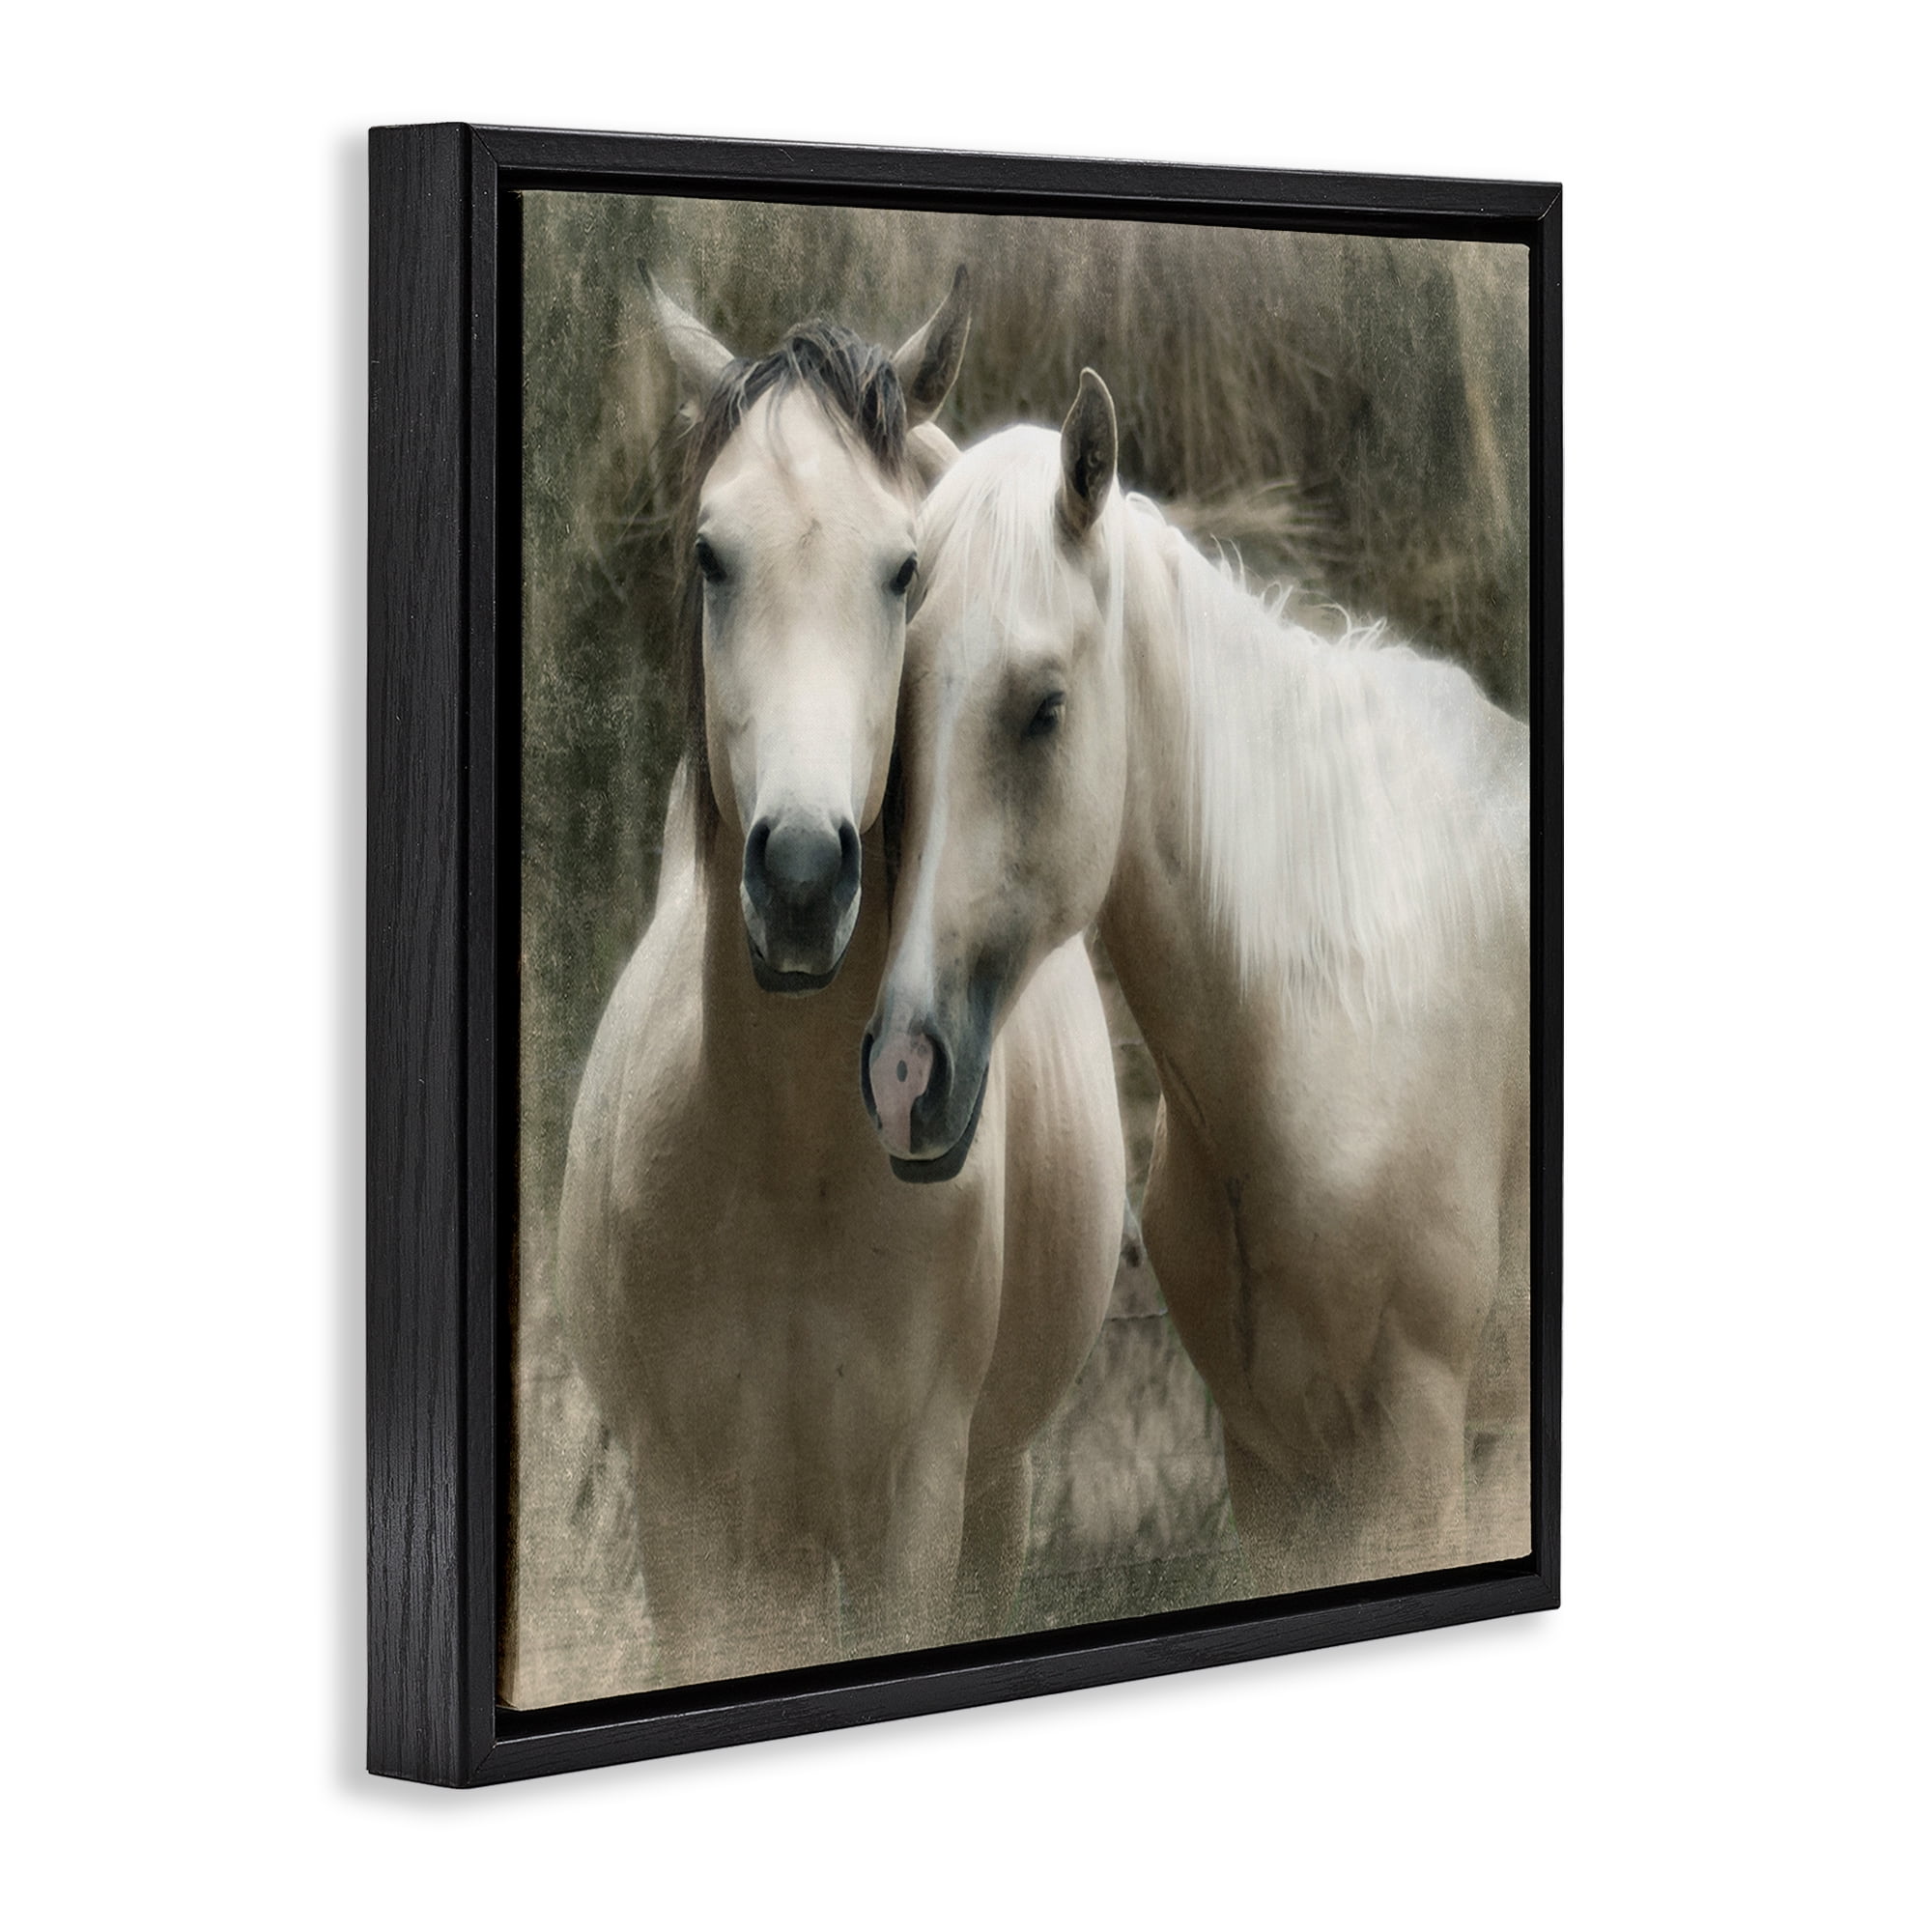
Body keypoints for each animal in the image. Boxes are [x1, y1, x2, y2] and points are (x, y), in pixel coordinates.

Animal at [554, 281, 1125, 1685]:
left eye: (902, 568)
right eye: (712, 555)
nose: (804, 874)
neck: (788, 1165)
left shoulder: (911, 1513)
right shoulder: (688, 1523)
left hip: (991, 1489)